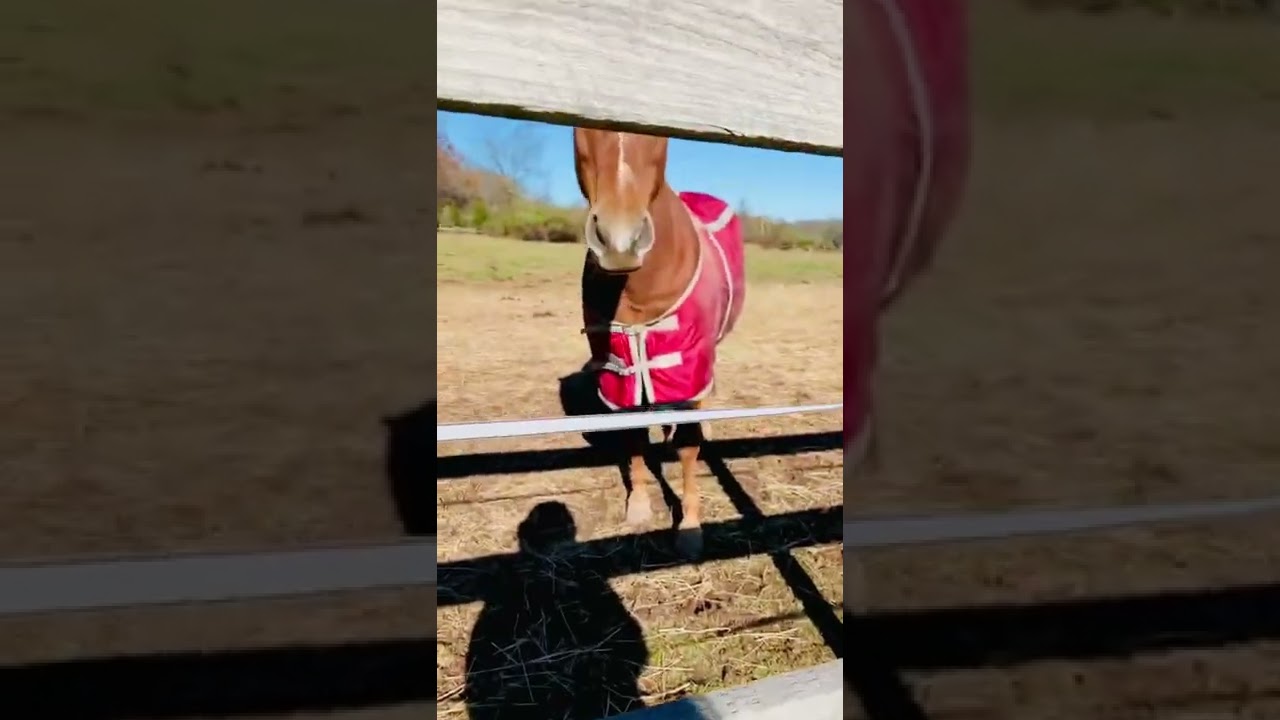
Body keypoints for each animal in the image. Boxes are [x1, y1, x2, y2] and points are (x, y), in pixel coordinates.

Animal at [572, 127, 746, 558]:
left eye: (660, 136)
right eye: (580, 126)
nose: (620, 243)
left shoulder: (690, 362)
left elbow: (687, 446)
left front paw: (690, 526)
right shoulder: (622, 373)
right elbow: (634, 434)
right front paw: (638, 507)